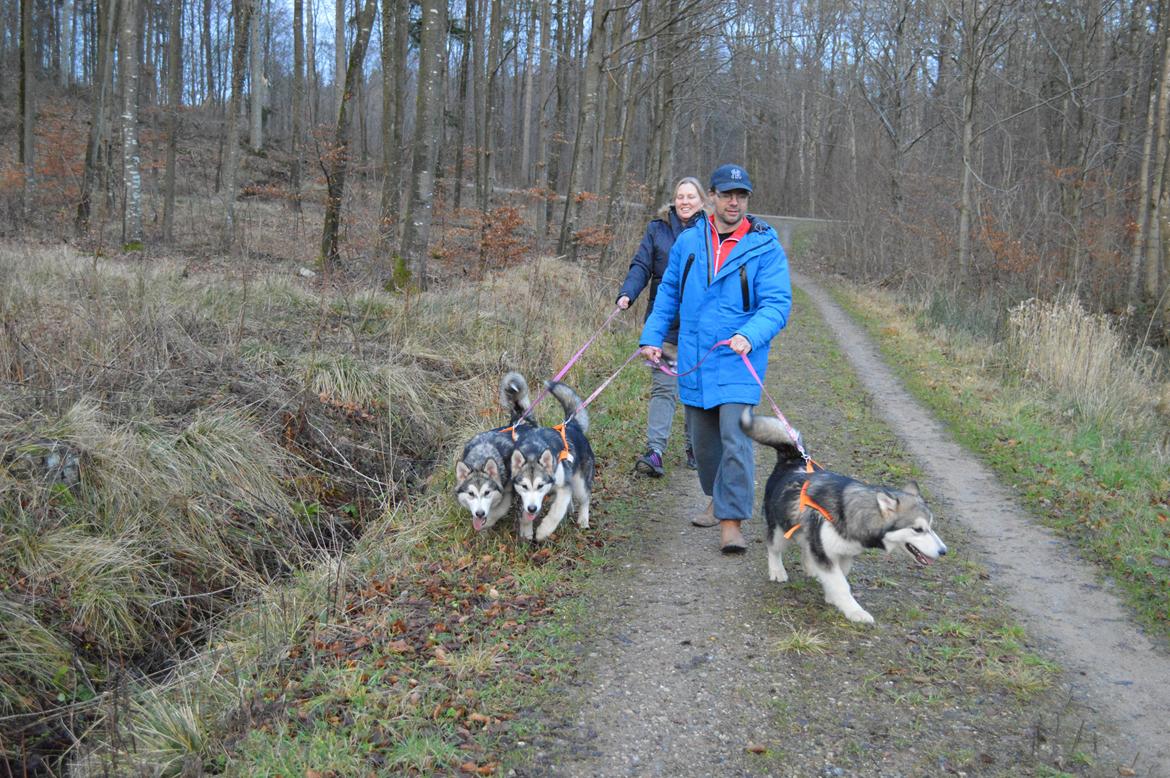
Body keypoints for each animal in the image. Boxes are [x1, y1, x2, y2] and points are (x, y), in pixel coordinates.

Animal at [453, 369, 533, 528]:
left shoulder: (506, 492)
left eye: (487, 493)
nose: (479, 513)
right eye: (471, 494)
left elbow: (496, 512)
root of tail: (518, 421)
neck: (480, 459)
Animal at [512, 381, 594, 540]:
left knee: (585, 498)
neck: (533, 451)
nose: (532, 508)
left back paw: (583, 519)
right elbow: (525, 515)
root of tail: (571, 425)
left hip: (579, 483)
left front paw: (542, 531)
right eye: (524, 486)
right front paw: (526, 531)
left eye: (540, 485)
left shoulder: (563, 488)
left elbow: (556, 512)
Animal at [739, 409, 950, 622]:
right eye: (918, 529)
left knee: (806, 548)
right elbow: (841, 584)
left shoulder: (845, 553)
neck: (851, 514)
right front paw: (855, 611)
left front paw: (832, 595)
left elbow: (840, 576)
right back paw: (777, 570)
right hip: (780, 530)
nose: (943, 551)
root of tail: (794, 460)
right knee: (773, 548)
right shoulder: (825, 552)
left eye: (931, 526)